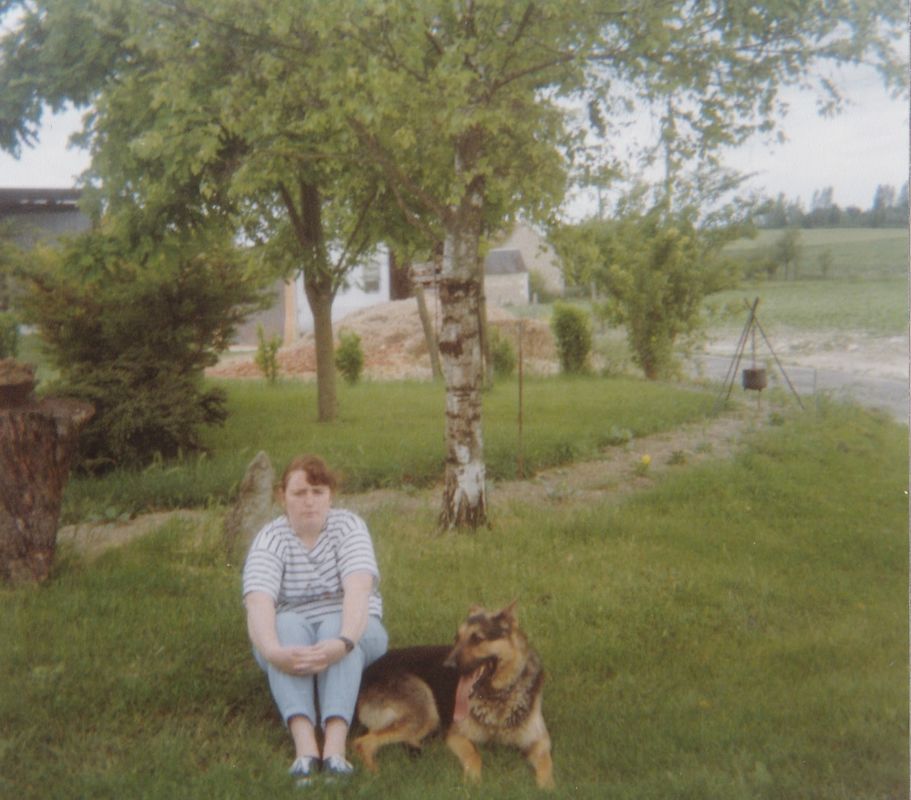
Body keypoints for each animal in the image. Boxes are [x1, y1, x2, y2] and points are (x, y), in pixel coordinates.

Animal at [354, 600, 556, 788]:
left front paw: (548, 787)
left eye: (477, 639)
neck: (498, 695)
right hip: (426, 710)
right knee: (362, 743)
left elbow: (547, 764)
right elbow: (474, 754)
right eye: (457, 639)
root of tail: (364, 673)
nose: (448, 666)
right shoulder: (456, 735)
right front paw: (473, 781)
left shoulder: (540, 741)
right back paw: (376, 775)